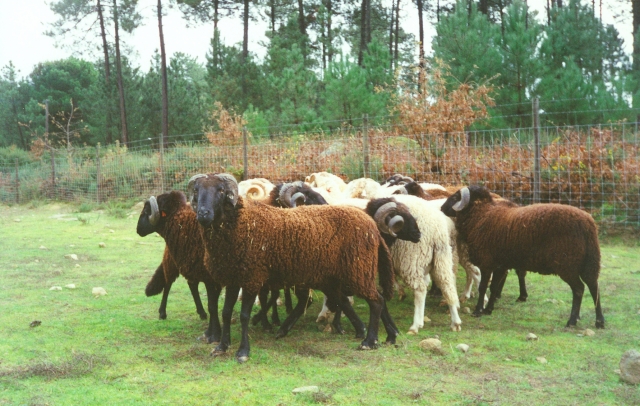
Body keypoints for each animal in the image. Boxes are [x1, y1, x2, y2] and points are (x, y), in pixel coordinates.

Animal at [136, 192, 224, 344]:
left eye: (147, 212)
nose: (137, 229)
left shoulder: (210, 277)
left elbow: (213, 305)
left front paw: (213, 333)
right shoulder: (208, 276)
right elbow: (212, 305)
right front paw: (213, 333)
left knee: (188, 285)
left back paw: (200, 313)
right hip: (176, 261)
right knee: (169, 284)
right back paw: (163, 313)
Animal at [188, 173, 396, 364]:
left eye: (221, 191)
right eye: (196, 191)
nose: (203, 214)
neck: (241, 223)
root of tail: (372, 226)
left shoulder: (252, 278)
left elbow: (244, 315)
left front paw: (243, 351)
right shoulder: (233, 278)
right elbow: (225, 312)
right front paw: (221, 347)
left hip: (358, 270)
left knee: (376, 301)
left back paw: (369, 341)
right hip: (342, 275)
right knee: (371, 298)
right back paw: (387, 335)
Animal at [440, 186, 604, 328]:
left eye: (455, 197)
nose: (441, 208)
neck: (481, 215)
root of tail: (588, 225)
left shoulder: (487, 263)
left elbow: (483, 287)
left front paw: (478, 310)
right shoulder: (501, 265)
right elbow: (494, 288)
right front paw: (488, 310)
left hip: (568, 265)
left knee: (579, 289)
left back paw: (572, 320)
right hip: (589, 262)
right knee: (594, 287)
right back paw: (599, 321)